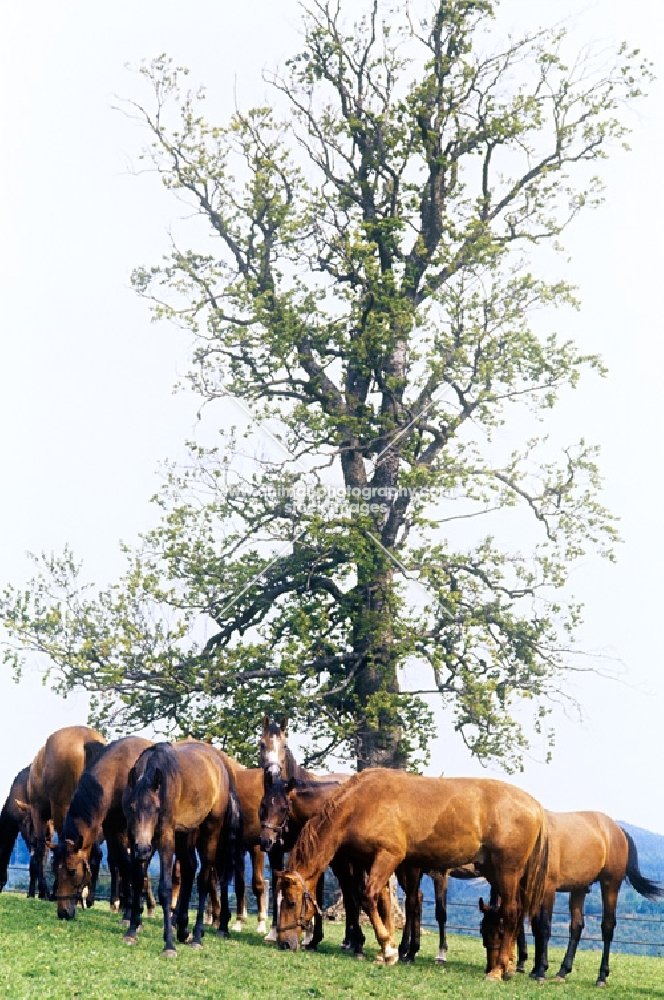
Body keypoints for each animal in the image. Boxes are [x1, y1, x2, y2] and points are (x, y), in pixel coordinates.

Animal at [15, 720, 106, 900]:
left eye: (25, 824)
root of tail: (86, 738)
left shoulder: (38, 812)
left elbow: (42, 851)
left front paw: (44, 890)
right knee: (95, 851)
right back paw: (88, 897)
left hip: (61, 808)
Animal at [52, 736, 154, 920]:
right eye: (54, 870)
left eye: (72, 871)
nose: (63, 912)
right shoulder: (112, 828)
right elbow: (120, 863)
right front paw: (127, 906)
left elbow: (129, 864)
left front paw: (131, 908)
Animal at [122, 740, 241, 956]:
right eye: (131, 808)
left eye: (156, 809)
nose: (142, 849)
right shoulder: (139, 839)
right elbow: (138, 880)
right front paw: (132, 931)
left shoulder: (165, 837)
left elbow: (165, 888)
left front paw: (169, 945)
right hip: (185, 834)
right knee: (189, 868)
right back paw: (183, 929)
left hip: (209, 832)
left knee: (204, 880)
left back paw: (196, 937)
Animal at [276, 768, 548, 980]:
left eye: (290, 902)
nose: (283, 943)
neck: (362, 802)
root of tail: (535, 806)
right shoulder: (373, 862)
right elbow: (382, 902)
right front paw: (387, 951)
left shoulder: (388, 856)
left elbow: (368, 897)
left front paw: (388, 949)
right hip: (496, 873)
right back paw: (508, 964)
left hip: (507, 872)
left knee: (511, 912)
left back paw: (498, 970)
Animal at [480, 808, 660, 988]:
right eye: (482, 930)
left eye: (500, 931)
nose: (490, 967)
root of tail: (617, 829)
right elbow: (533, 925)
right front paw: (534, 968)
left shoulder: (547, 890)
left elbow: (543, 927)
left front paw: (540, 971)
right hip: (579, 888)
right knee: (576, 926)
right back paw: (562, 971)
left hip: (610, 885)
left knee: (607, 927)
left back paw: (601, 976)